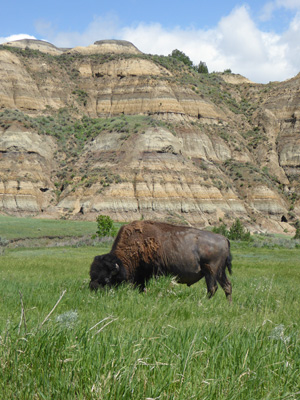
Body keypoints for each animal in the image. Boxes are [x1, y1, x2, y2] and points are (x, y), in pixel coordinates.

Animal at [88, 220, 232, 302]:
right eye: (91, 275)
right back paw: (228, 304)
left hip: (210, 271)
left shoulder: (156, 272)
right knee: (227, 286)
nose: (92, 289)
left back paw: (204, 302)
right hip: (220, 272)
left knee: (212, 288)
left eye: (107, 279)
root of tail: (224, 239)